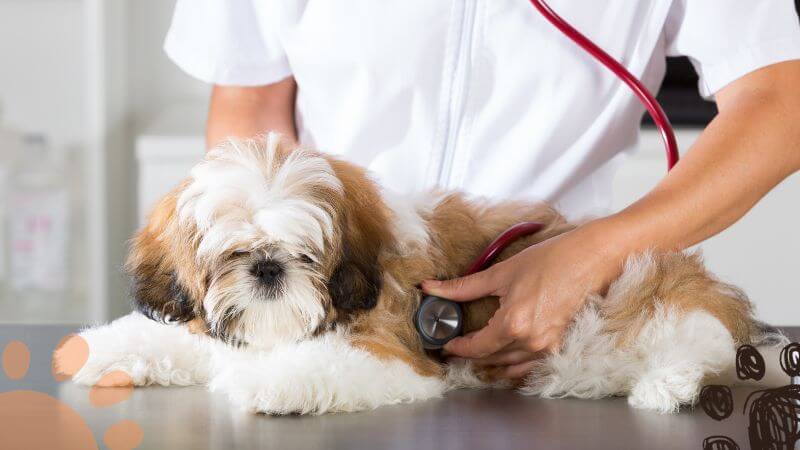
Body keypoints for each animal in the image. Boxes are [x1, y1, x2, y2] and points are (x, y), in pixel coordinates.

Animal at [56, 133, 788, 414]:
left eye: (305, 253)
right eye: (233, 254)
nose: (267, 269)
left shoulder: (394, 353)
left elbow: (320, 366)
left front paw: (271, 386)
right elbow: (170, 336)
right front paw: (98, 349)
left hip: (646, 293)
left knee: (699, 344)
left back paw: (667, 384)